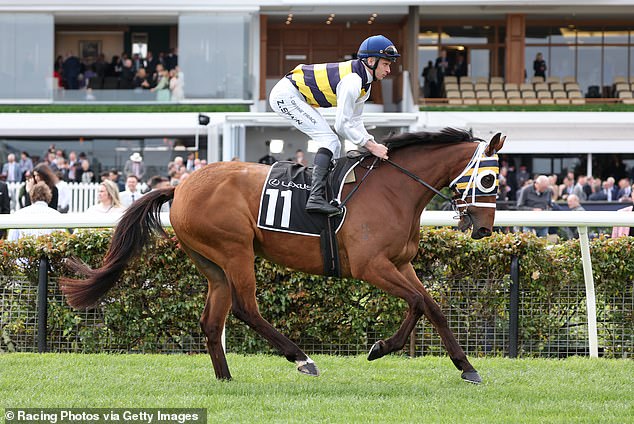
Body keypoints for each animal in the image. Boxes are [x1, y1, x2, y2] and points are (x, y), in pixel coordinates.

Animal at [59, 126, 504, 384]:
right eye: (488, 178)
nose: (484, 228)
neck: (394, 191)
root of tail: (180, 186)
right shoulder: (371, 266)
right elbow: (416, 302)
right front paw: (380, 347)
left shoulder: (400, 263)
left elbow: (432, 306)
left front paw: (467, 367)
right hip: (236, 250)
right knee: (245, 308)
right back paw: (301, 358)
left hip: (212, 264)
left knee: (211, 321)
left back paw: (226, 378)